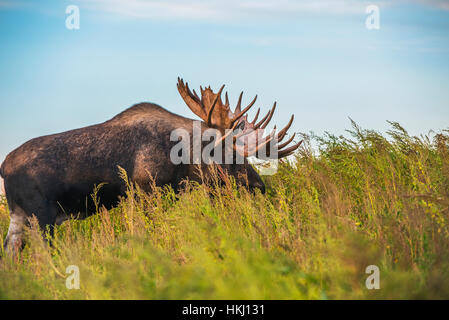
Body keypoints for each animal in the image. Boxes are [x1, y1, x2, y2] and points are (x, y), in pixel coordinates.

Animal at [0, 77, 300, 252]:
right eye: (228, 153)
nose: (258, 186)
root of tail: (3, 167)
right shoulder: (147, 192)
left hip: (19, 218)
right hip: (40, 218)